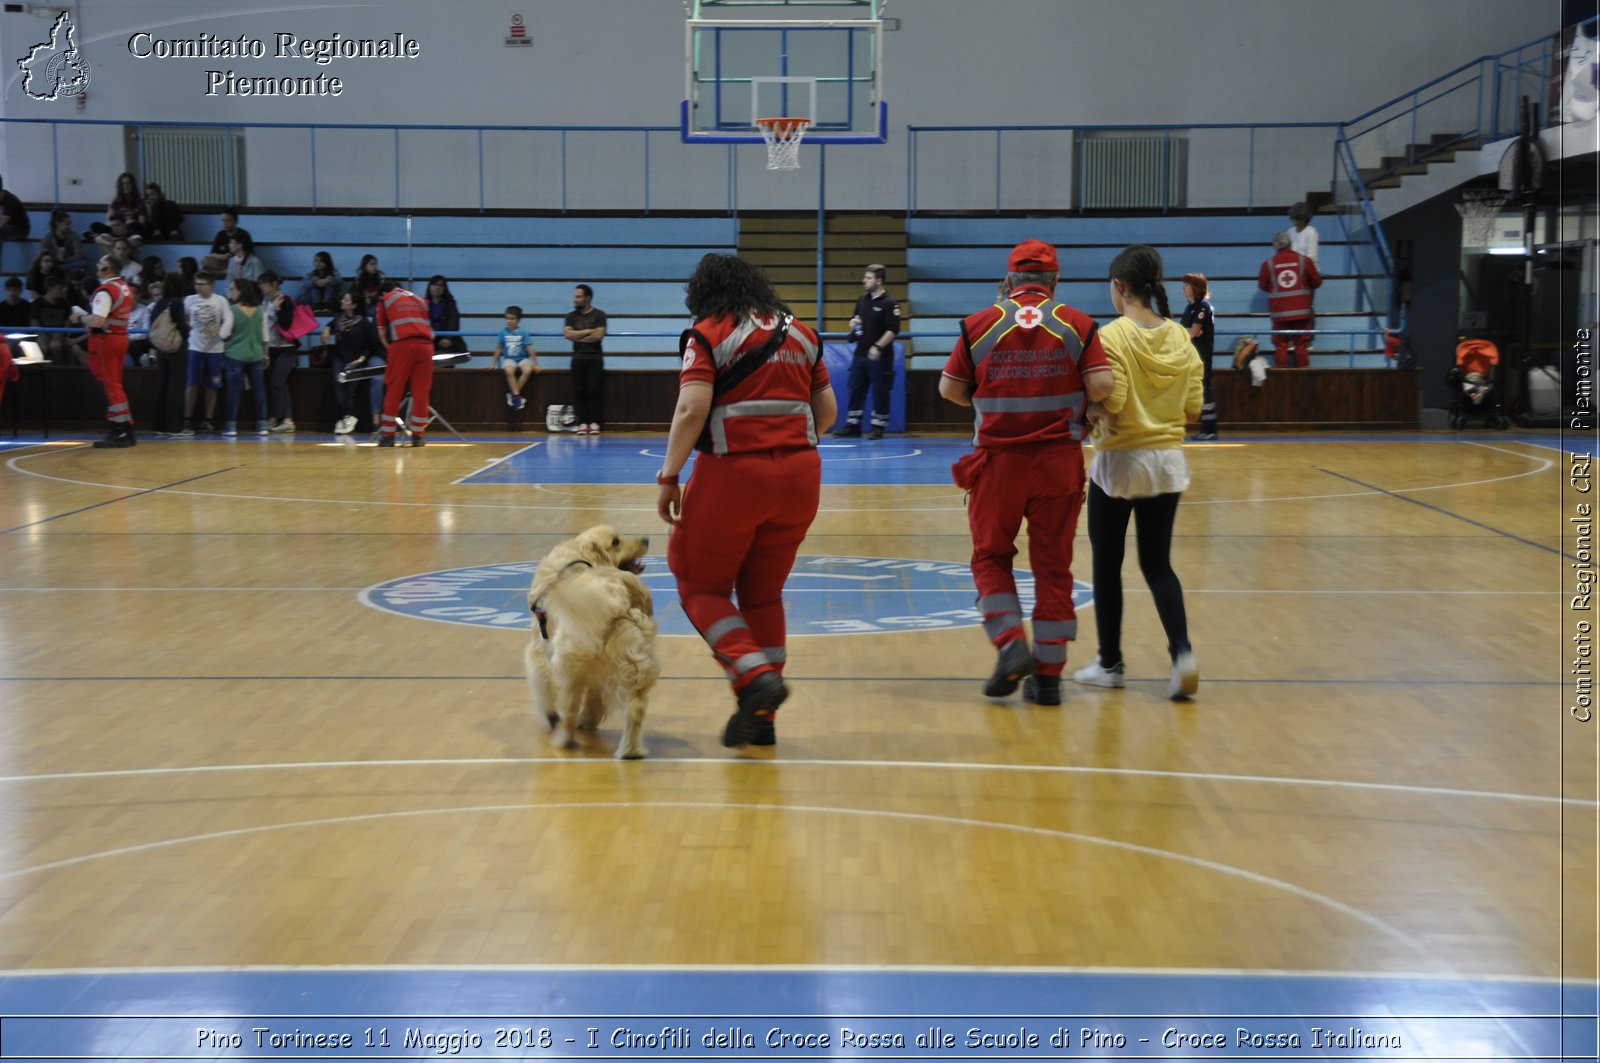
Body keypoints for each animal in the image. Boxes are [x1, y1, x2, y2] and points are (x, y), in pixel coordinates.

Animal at [528, 528, 659, 758]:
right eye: (616, 542)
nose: (646, 539)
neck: (581, 557)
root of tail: (618, 594)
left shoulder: (539, 649)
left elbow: (543, 683)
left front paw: (552, 715)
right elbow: (594, 697)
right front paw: (589, 720)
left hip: (569, 666)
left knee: (569, 709)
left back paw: (562, 739)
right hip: (634, 662)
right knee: (636, 709)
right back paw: (630, 750)